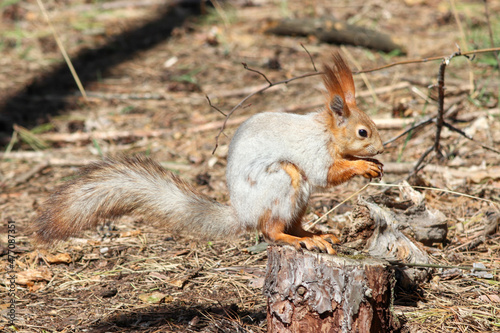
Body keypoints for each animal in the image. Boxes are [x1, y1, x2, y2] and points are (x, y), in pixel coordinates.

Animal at [34, 52, 382, 254]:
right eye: (362, 132)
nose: (381, 147)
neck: (327, 132)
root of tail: (242, 214)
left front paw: (372, 162)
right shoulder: (315, 153)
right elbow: (329, 173)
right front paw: (364, 166)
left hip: (297, 196)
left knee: (287, 224)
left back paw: (316, 234)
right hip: (283, 180)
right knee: (271, 231)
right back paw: (301, 240)